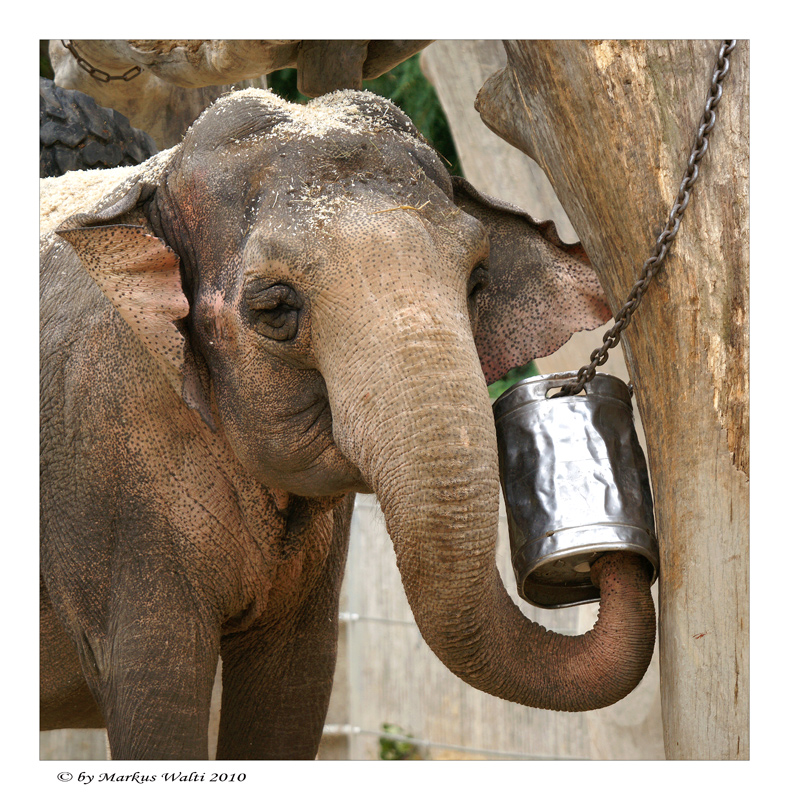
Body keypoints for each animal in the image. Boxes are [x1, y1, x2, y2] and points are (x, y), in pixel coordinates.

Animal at [40, 89, 656, 764]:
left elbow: (290, 697)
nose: (606, 556)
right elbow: (157, 701)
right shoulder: (110, 497)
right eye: (275, 308)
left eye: (477, 283)